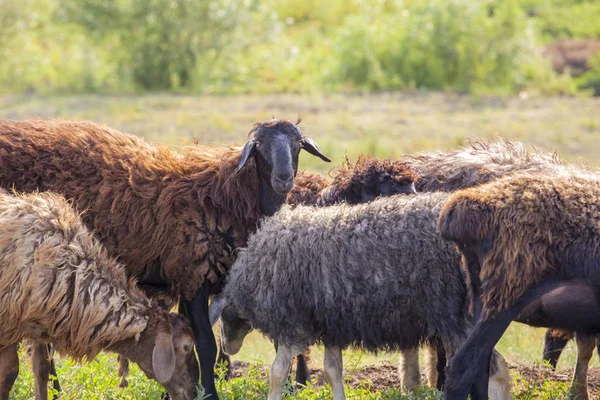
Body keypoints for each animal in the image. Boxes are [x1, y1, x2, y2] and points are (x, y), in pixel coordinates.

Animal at [0, 190, 199, 400]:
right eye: (187, 347)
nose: (194, 391)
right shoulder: (8, 326)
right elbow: (9, 373)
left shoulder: (37, 324)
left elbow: (42, 370)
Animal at [207, 192, 510, 398]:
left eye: (222, 318)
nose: (228, 349)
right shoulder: (331, 326)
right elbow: (333, 371)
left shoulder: (294, 327)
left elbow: (277, 373)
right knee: (496, 365)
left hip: (455, 316)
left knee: (492, 366)